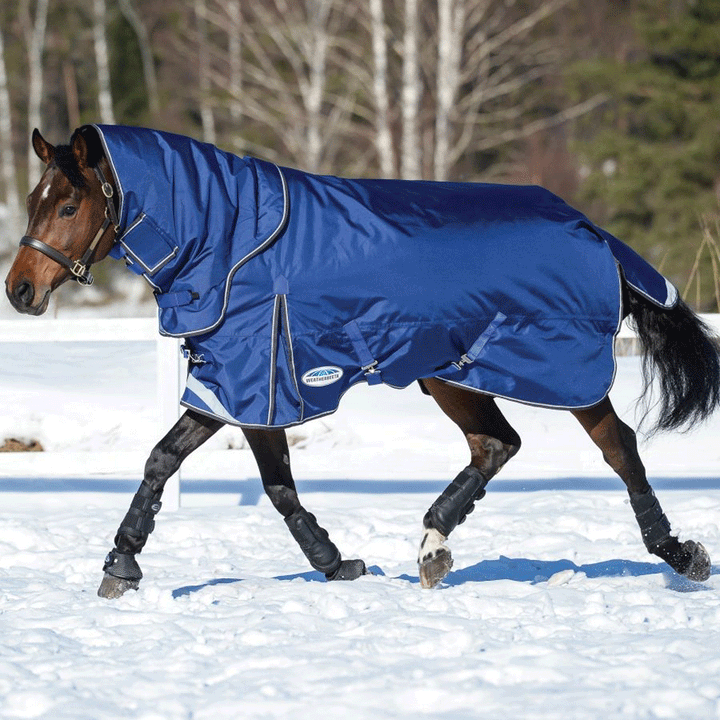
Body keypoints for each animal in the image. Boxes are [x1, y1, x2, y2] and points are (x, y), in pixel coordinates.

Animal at [4, 125, 716, 596]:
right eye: (34, 200)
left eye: (67, 204)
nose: (20, 290)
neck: (232, 240)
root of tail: (590, 229)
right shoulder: (255, 384)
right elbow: (268, 482)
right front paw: (335, 561)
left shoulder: (244, 377)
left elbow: (171, 460)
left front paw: (120, 566)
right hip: (452, 371)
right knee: (496, 444)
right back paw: (432, 546)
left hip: (560, 372)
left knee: (617, 446)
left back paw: (679, 554)